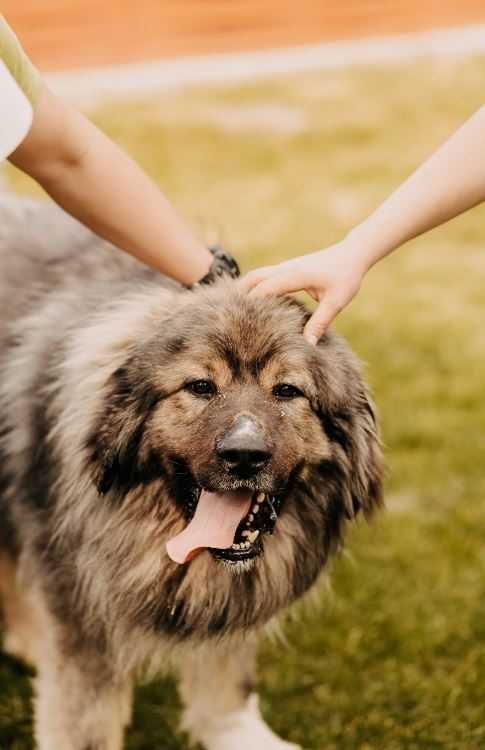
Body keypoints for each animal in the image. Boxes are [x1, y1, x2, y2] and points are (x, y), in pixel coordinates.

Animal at [0, 197, 382, 748]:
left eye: (287, 391)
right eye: (201, 387)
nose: (244, 455)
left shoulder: (231, 599)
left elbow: (226, 677)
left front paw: (232, 730)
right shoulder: (83, 619)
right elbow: (85, 722)